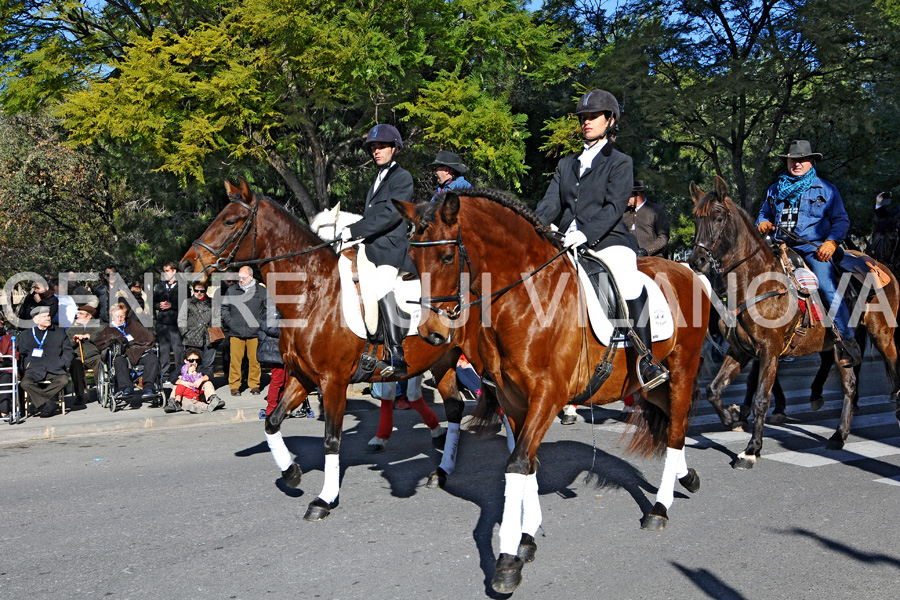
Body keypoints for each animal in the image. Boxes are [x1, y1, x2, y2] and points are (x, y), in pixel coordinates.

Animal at [176, 178, 472, 520]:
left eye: (230, 221)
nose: (185, 264)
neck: (313, 292)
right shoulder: (302, 376)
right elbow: (272, 421)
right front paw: (291, 472)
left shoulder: (333, 381)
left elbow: (331, 439)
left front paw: (324, 499)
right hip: (443, 360)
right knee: (454, 408)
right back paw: (442, 470)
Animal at [394, 190, 712, 592]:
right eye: (413, 257)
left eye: (448, 258)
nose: (432, 334)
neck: (526, 299)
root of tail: (687, 271)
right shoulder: (514, 399)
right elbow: (526, 462)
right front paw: (527, 539)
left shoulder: (548, 395)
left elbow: (517, 464)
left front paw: (507, 561)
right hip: (648, 383)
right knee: (672, 421)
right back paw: (688, 478)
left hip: (683, 369)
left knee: (676, 429)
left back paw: (659, 508)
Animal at [688, 176, 900, 466]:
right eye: (696, 219)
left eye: (719, 218)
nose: (695, 261)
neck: (756, 282)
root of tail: (879, 265)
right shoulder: (740, 349)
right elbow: (714, 389)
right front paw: (733, 417)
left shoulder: (769, 350)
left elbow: (761, 398)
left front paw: (751, 449)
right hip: (841, 347)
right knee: (848, 383)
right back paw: (837, 432)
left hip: (882, 334)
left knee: (887, 365)